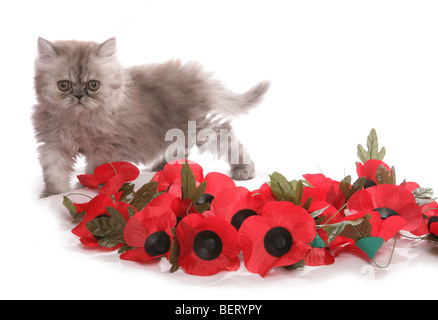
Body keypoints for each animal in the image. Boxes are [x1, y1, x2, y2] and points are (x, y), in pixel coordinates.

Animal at [32, 38, 268, 198]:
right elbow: (54, 173)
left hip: (199, 125)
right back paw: (162, 165)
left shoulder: (106, 149)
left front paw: (88, 188)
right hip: (181, 128)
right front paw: (54, 194)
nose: (79, 96)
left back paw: (243, 168)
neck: (78, 121)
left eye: (93, 85)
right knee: (183, 147)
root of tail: (198, 76)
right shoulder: (53, 145)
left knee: (224, 135)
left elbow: (96, 171)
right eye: (64, 85)